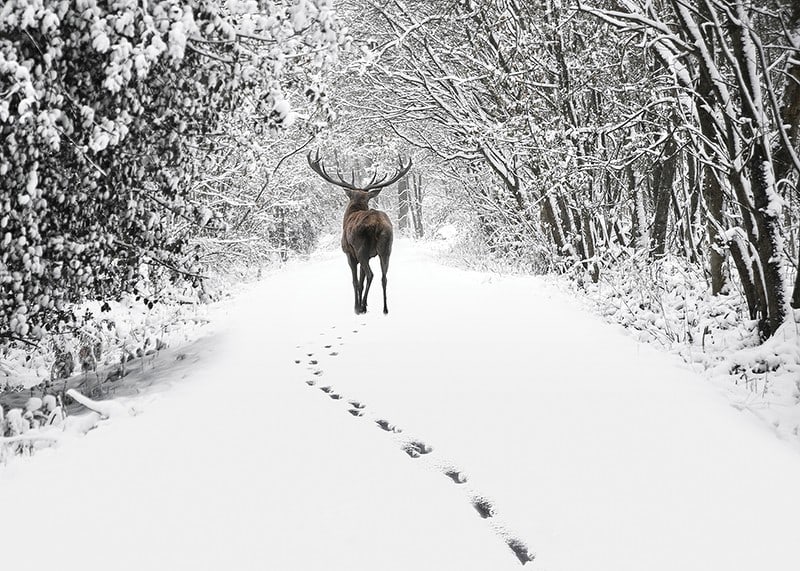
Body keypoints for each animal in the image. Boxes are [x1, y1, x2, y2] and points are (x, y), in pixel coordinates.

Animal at [307, 151, 412, 315]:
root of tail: (377, 224)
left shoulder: (349, 254)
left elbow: (356, 281)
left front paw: (357, 306)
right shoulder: (369, 255)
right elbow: (361, 281)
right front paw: (365, 303)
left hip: (361, 248)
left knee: (371, 274)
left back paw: (361, 307)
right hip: (386, 248)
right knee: (384, 277)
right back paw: (385, 309)